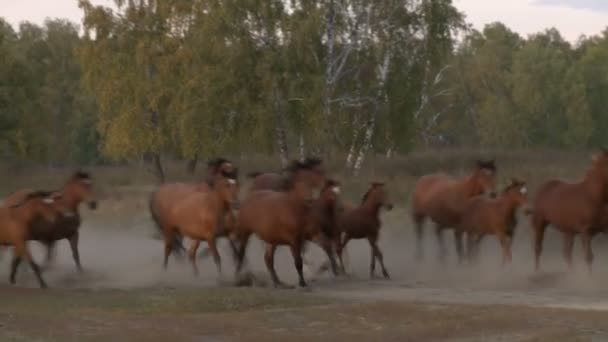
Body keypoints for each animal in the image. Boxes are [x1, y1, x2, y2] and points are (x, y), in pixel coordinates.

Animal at [233, 159, 326, 288]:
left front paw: (326, 268)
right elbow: (298, 262)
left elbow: (325, 246)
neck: (294, 208)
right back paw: (238, 279)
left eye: (320, 173)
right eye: (301, 181)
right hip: (245, 232)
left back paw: (278, 282)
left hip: (271, 240)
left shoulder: (309, 236)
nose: (311, 198)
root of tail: (249, 198)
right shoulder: (293, 240)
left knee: (268, 259)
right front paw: (303, 283)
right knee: (241, 254)